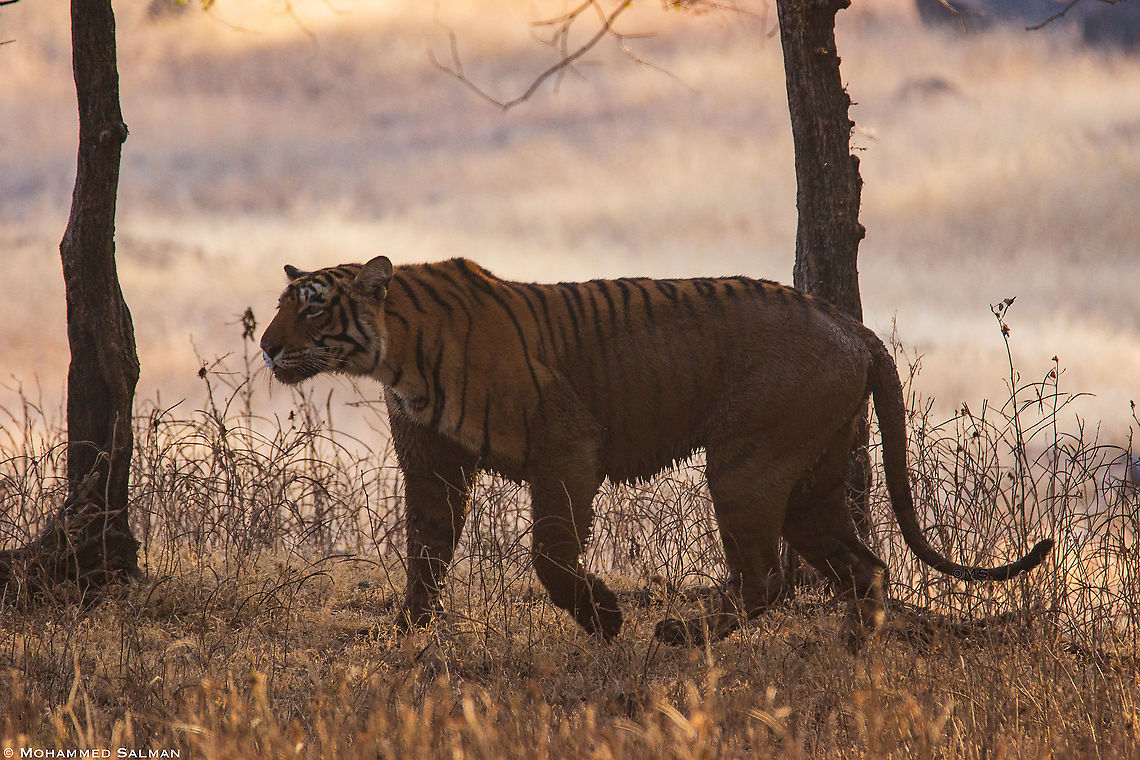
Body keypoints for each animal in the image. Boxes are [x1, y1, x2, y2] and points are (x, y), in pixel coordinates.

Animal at [259, 255, 1053, 650]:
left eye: (312, 306)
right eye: (280, 305)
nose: (265, 346)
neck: (398, 359)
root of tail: (850, 324)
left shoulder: (566, 447)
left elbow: (549, 554)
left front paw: (604, 620)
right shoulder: (432, 465)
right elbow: (425, 552)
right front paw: (403, 633)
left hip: (746, 465)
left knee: (767, 577)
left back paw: (681, 636)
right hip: (813, 484)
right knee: (864, 569)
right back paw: (850, 654)